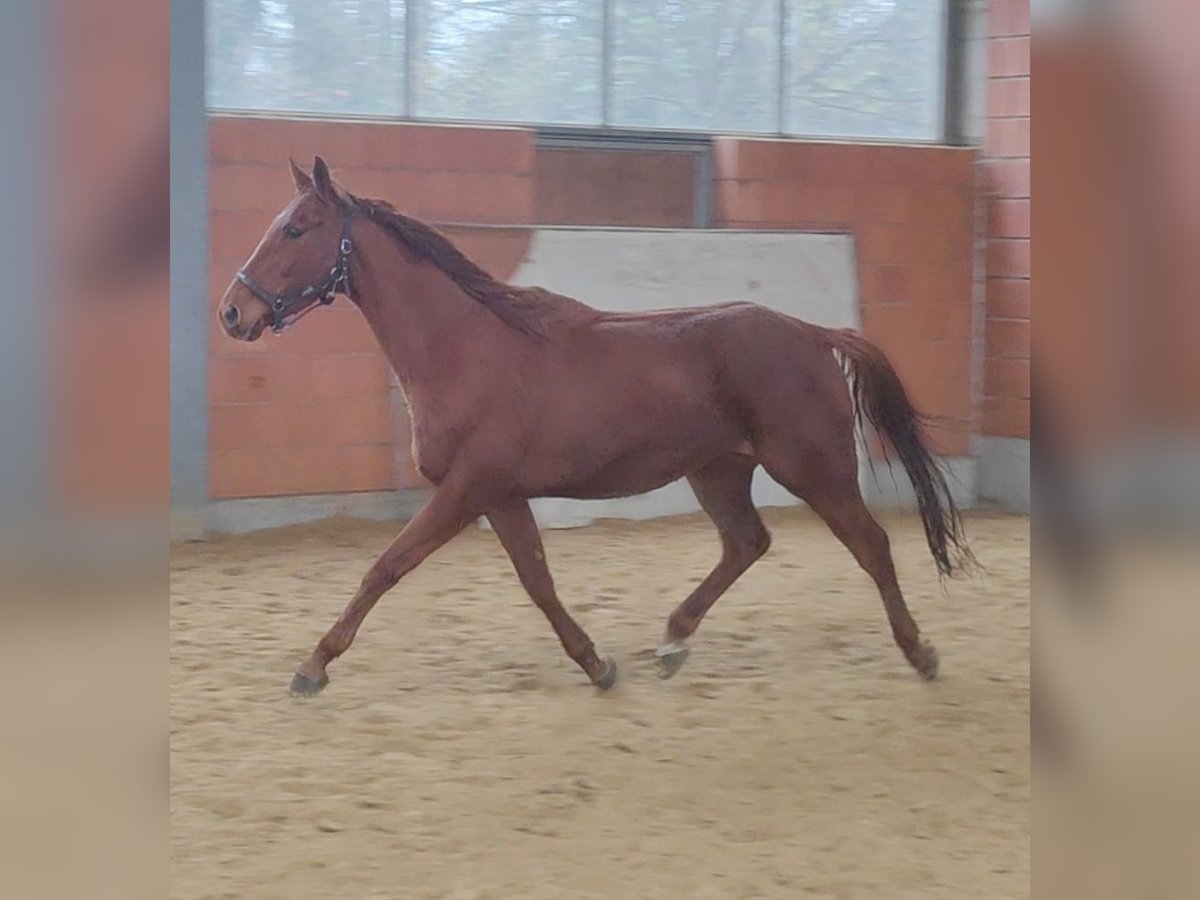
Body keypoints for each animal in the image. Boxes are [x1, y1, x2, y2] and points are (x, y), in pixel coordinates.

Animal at [218, 156, 974, 697]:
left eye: (296, 228)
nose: (233, 312)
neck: (466, 348)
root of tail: (815, 333)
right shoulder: (501, 496)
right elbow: (538, 580)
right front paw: (597, 664)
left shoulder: (466, 489)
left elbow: (386, 567)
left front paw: (312, 667)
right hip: (718, 470)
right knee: (746, 543)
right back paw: (672, 642)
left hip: (812, 467)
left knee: (870, 545)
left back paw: (922, 653)